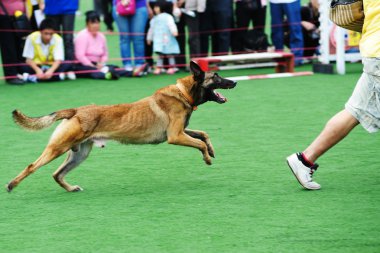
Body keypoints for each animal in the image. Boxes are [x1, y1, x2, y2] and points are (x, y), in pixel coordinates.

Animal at [7, 61, 236, 192]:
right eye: (216, 77)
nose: (234, 82)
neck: (183, 93)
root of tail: (75, 110)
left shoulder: (180, 131)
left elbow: (203, 135)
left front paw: (211, 151)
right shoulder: (175, 136)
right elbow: (200, 143)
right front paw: (207, 158)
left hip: (79, 153)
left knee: (57, 174)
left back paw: (70, 188)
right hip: (58, 148)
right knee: (32, 166)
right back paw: (11, 185)